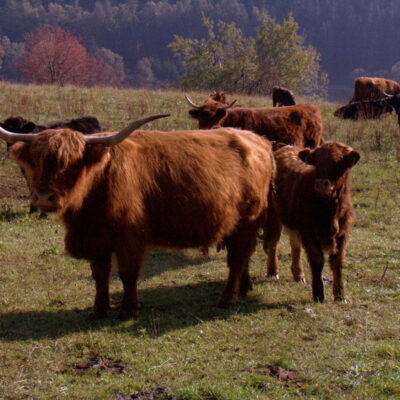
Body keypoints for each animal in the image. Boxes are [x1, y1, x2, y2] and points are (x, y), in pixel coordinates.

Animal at [0, 115, 276, 318]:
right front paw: (99, 309)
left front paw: (127, 310)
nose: (43, 198)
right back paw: (243, 290)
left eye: (71, 163)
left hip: (247, 221)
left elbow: (127, 274)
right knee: (243, 257)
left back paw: (227, 299)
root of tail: (259, 140)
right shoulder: (97, 239)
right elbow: (100, 275)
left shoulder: (129, 237)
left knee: (237, 260)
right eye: (36, 161)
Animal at [262, 142, 360, 302]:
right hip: (273, 217)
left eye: (338, 164)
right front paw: (319, 294)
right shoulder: (308, 231)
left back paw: (298, 274)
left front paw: (340, 295)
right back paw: (273, 272)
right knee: (273, 243)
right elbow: (317, 260)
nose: (321, 183)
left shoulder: (343, 233)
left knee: (295, 246)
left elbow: (337, 262)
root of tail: (284, 147)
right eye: (317, 163)